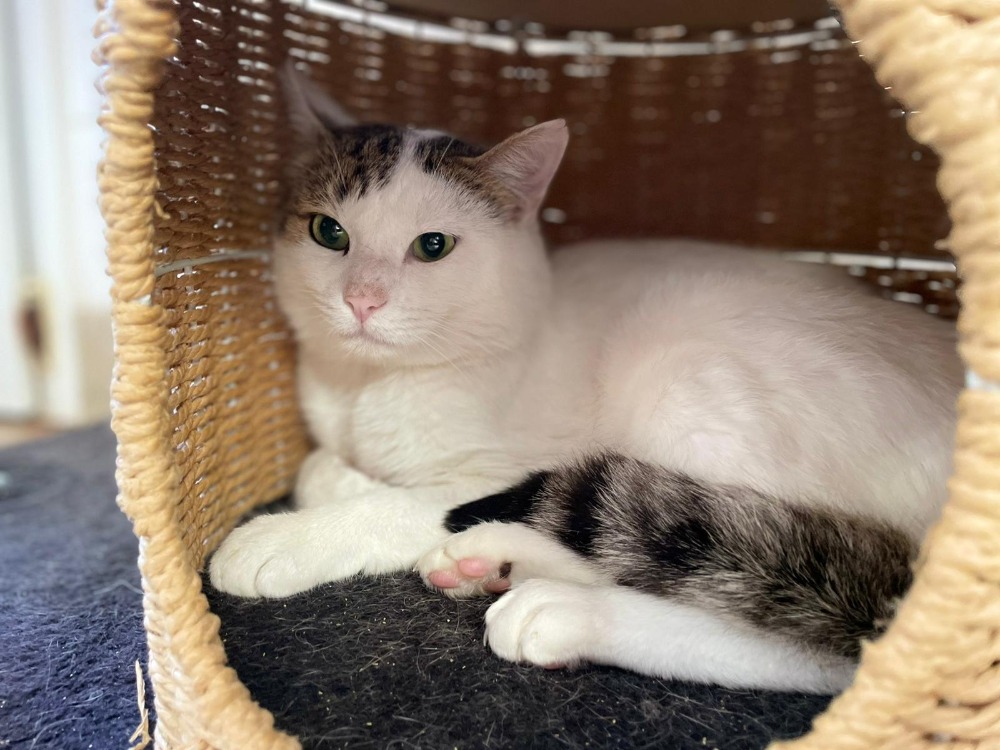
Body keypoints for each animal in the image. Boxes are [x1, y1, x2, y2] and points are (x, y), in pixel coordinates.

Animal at [208, 64, 962, 693]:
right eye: (328, 233)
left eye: (433, 246)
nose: (362, 299)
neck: (369, 386)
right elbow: (322, 468)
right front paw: (342, 479)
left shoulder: (504, 467)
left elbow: (397, 505)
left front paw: (284, 539)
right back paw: (494, 562)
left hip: (683, 382)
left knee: (815, 635)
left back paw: (560, 609)